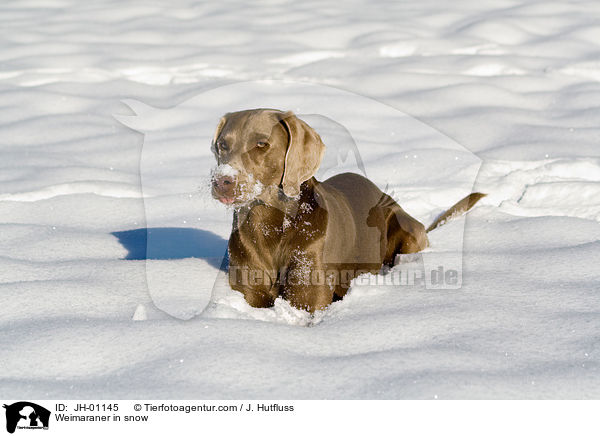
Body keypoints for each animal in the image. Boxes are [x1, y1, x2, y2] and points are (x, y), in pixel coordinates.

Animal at [211, 110, 482, 312]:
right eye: (222, 145)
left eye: (262, 144)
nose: (222, 181)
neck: (271, 224)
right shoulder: (251, 292)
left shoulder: (308, 296)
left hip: (407, 233)